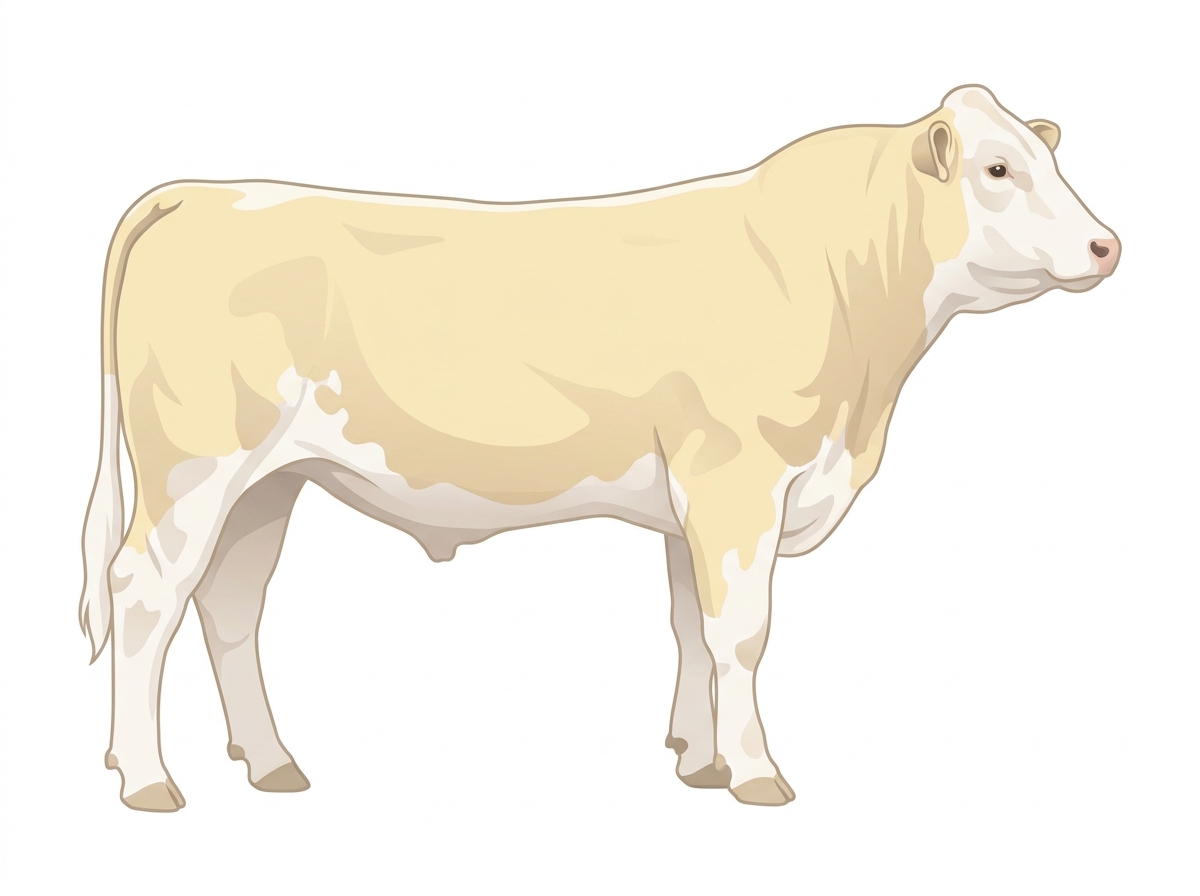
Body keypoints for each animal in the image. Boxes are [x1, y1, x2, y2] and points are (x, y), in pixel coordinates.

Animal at [80, 85, 1120, 811]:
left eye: (1046, 157)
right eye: (997, 170)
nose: (1108, 245)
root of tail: (205, 191)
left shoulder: (695, 501)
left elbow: (692, 626)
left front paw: (699, 762)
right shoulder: (739, 479)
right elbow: (743, 631)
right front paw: (757, 774)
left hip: (269, 481)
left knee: (229, 606)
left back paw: (272, 763)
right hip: (194, 468)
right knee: (146, 595)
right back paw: (146, 780)